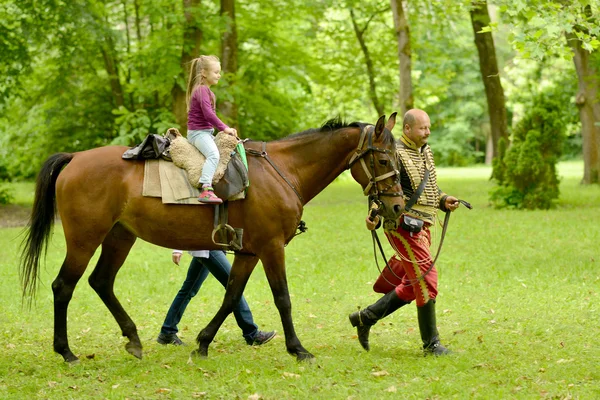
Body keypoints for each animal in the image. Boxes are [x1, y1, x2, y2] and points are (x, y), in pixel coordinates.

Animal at [19, 113, 404, 362]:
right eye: (385, 159)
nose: (398, 206)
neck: (283, 171)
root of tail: (74, 158)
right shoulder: (270, 248)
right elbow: (282, 298)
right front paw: (298, 349)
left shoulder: (248, 252)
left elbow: (232, 296)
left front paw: (203, 343)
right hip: (84, 239)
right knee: (63, 286)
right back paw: (66, 351)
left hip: (119, 237)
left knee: (101, 282)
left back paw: (133, 339)